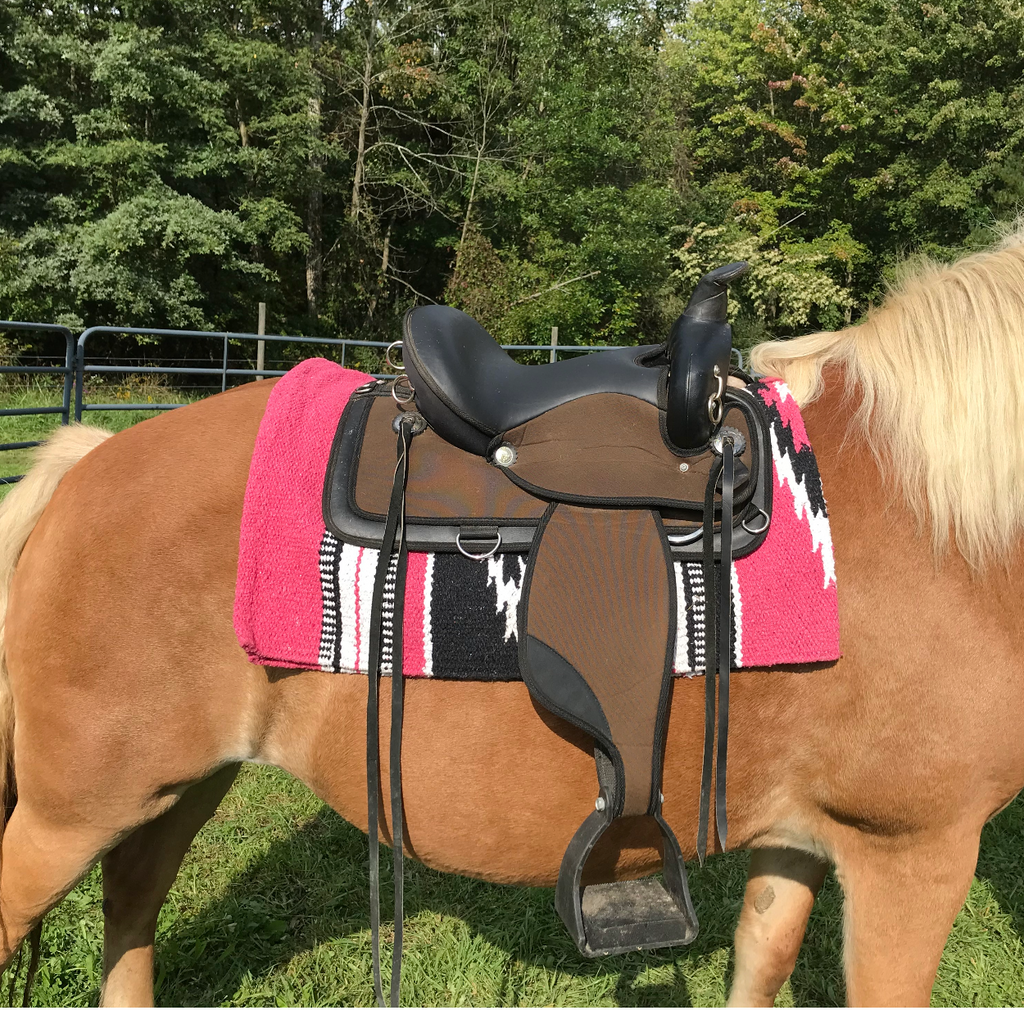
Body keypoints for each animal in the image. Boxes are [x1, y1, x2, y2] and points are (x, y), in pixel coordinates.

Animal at [1, 230, 1023, 1007]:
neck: (941, 519)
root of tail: (83, 462)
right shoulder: (914, 854)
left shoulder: (805, 837)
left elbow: (758, 967)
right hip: (73, 807)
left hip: (177, 785)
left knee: (132, 905)